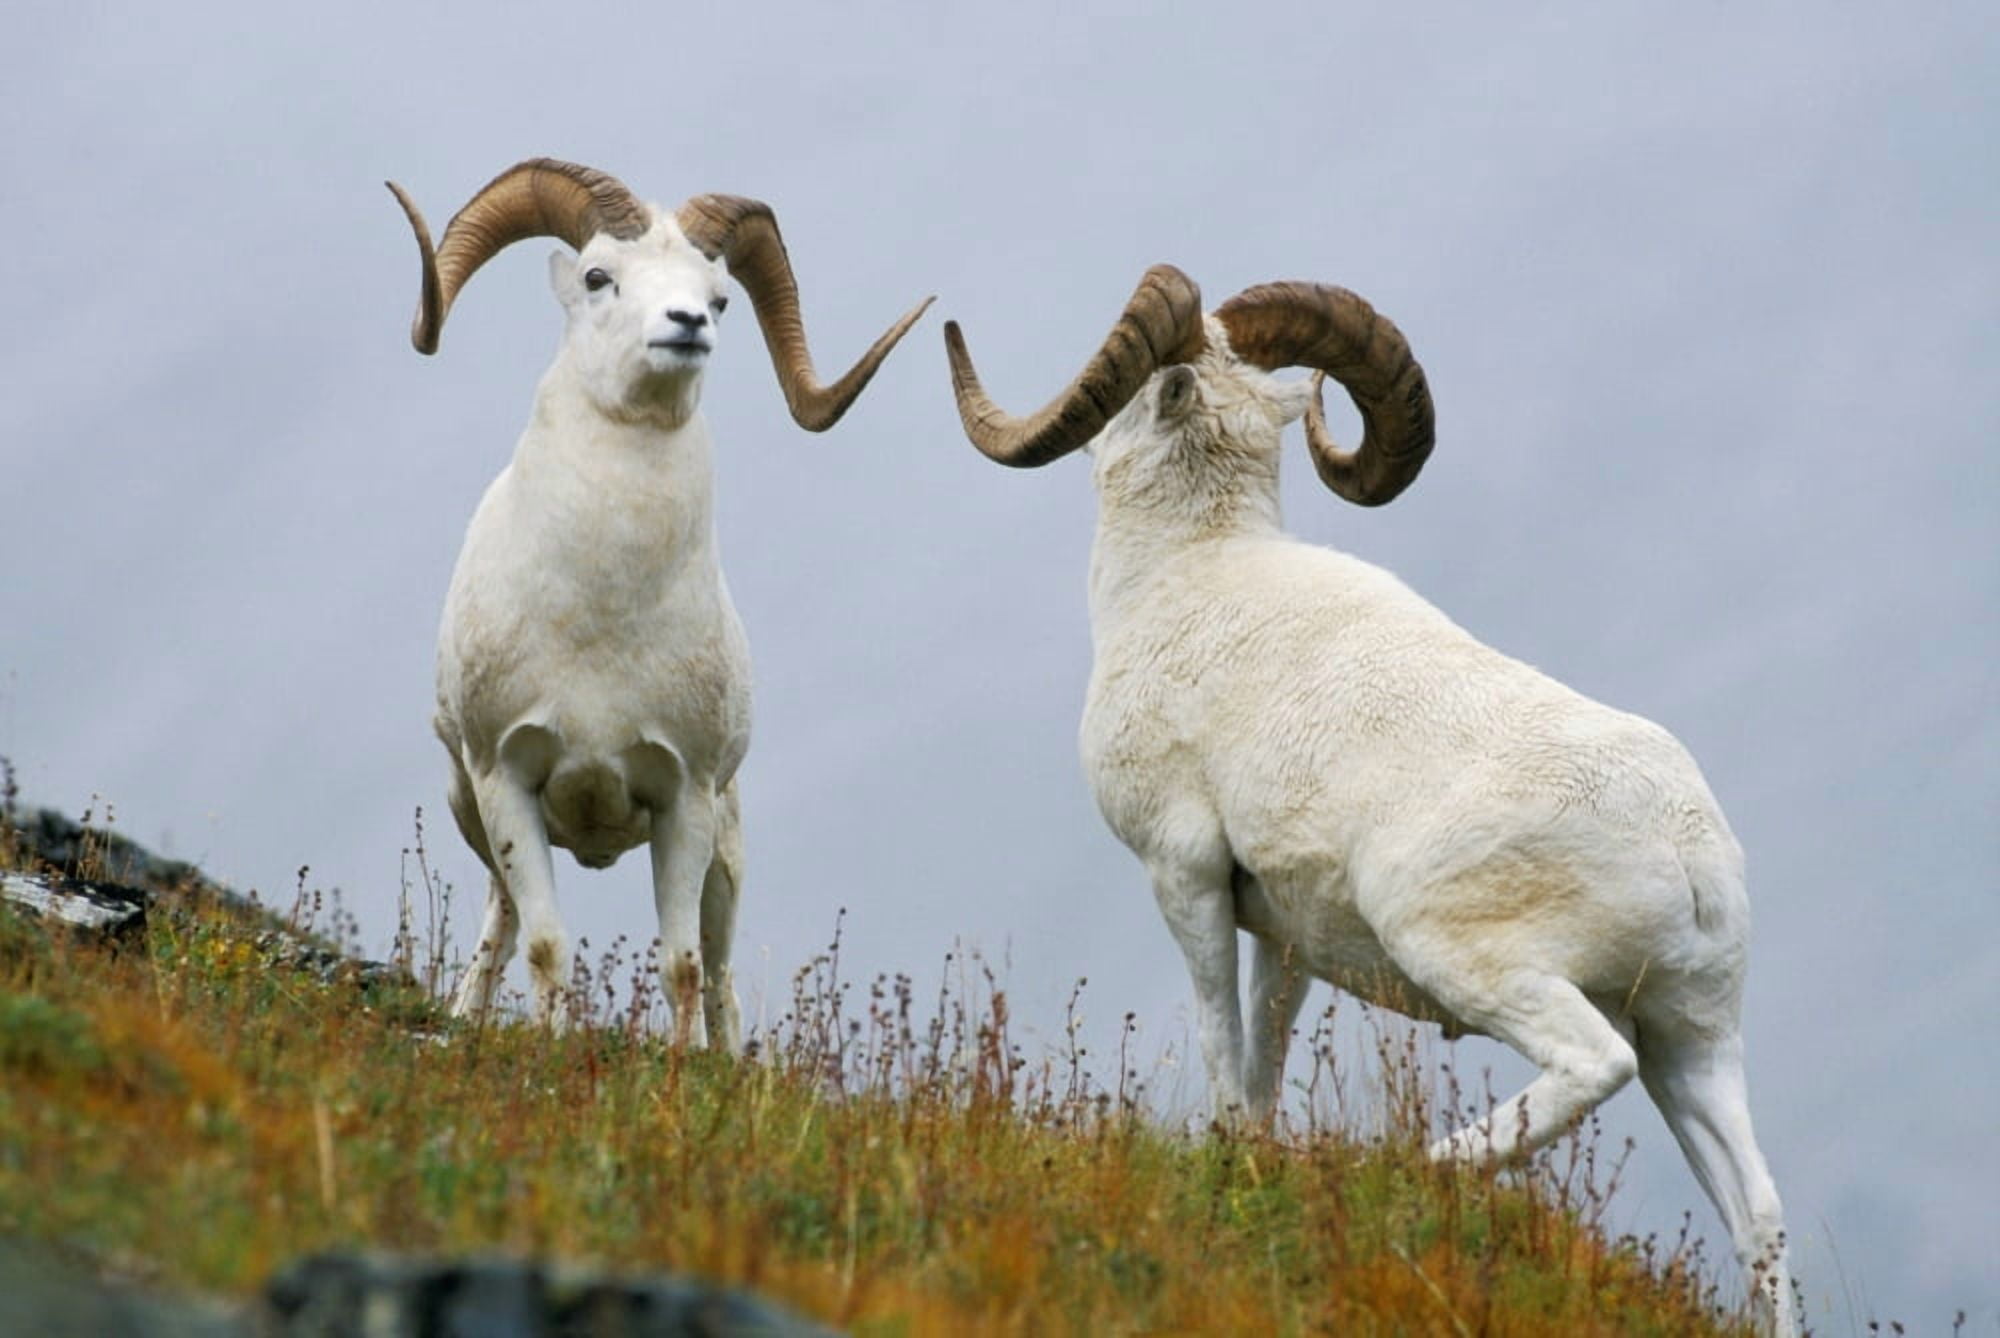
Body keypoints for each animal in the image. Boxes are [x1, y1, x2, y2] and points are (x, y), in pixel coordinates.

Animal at [387, 158, 930, 1045]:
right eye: (599, 277)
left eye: (718, 298)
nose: (686, 326)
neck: (603, 615)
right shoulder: (508, 782)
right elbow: (545, 946)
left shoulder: (685, 803)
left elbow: (680, 967)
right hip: (477, 818)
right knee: (501, 923)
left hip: (726, 861)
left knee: (720, 978)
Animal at [941, 265, 1796, 1333]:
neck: (1185, 575)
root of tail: (1687, 854)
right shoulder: (1286, 933)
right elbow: (1264, 1050)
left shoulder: (1184, 873)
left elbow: (1222, 1040)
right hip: (1694, 1035)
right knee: (1759, 1219)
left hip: (1466, 953)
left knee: (1592, 1067)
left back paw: (1417, 1172)